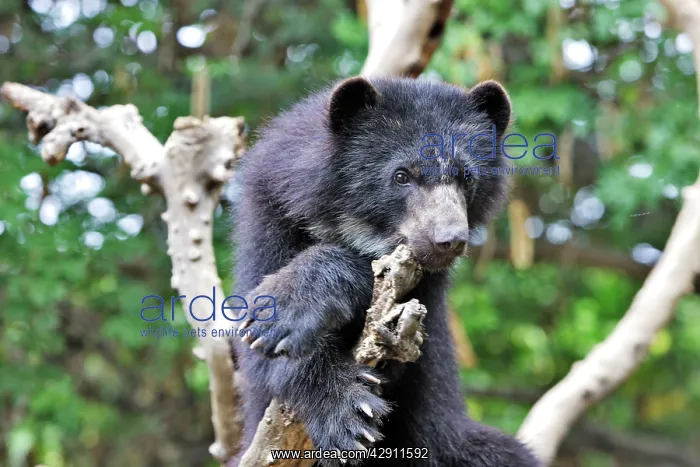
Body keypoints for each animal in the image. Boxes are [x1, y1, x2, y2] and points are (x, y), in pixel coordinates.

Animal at [228, 76, 540, 467]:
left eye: (466, 177)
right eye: (401, 176)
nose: (449, 240)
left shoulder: (423, 294)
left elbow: (400, 354)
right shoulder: (269, 217)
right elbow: (257, 348)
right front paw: (347, 412)